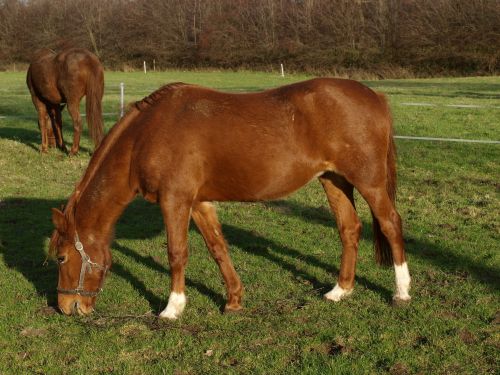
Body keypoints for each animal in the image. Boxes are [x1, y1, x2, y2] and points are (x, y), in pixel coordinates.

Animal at [48, 78, 412, 318]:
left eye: (62, 258)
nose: (66, 306)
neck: (146, 135)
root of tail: (375, 96)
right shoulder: (198, 203)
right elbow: (217, 248)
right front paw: (234, 299)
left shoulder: (175, 200)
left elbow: (176, 253)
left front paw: (172, 308)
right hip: (333, 180)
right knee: (349, 229)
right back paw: (340, 290)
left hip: (369, 181)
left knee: (390, 224)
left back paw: (402, 292)